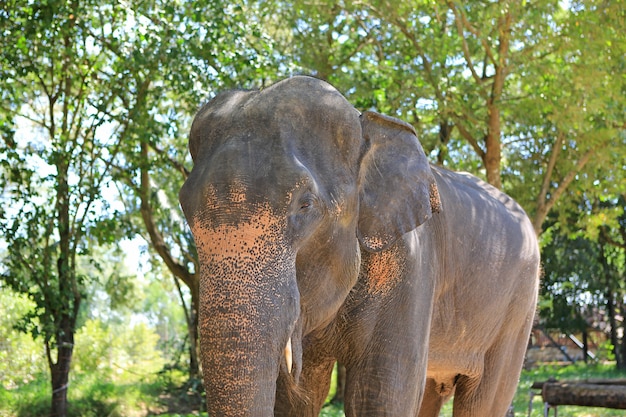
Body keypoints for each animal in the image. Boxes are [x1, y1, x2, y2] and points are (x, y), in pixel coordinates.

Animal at [178, 75, 540, 416]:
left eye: (305, 205)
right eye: (183, 206)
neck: (365, 123)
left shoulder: (411, 263)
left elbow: (380, 397)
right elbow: (298, 400)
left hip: (518, 311)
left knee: (483, 399)